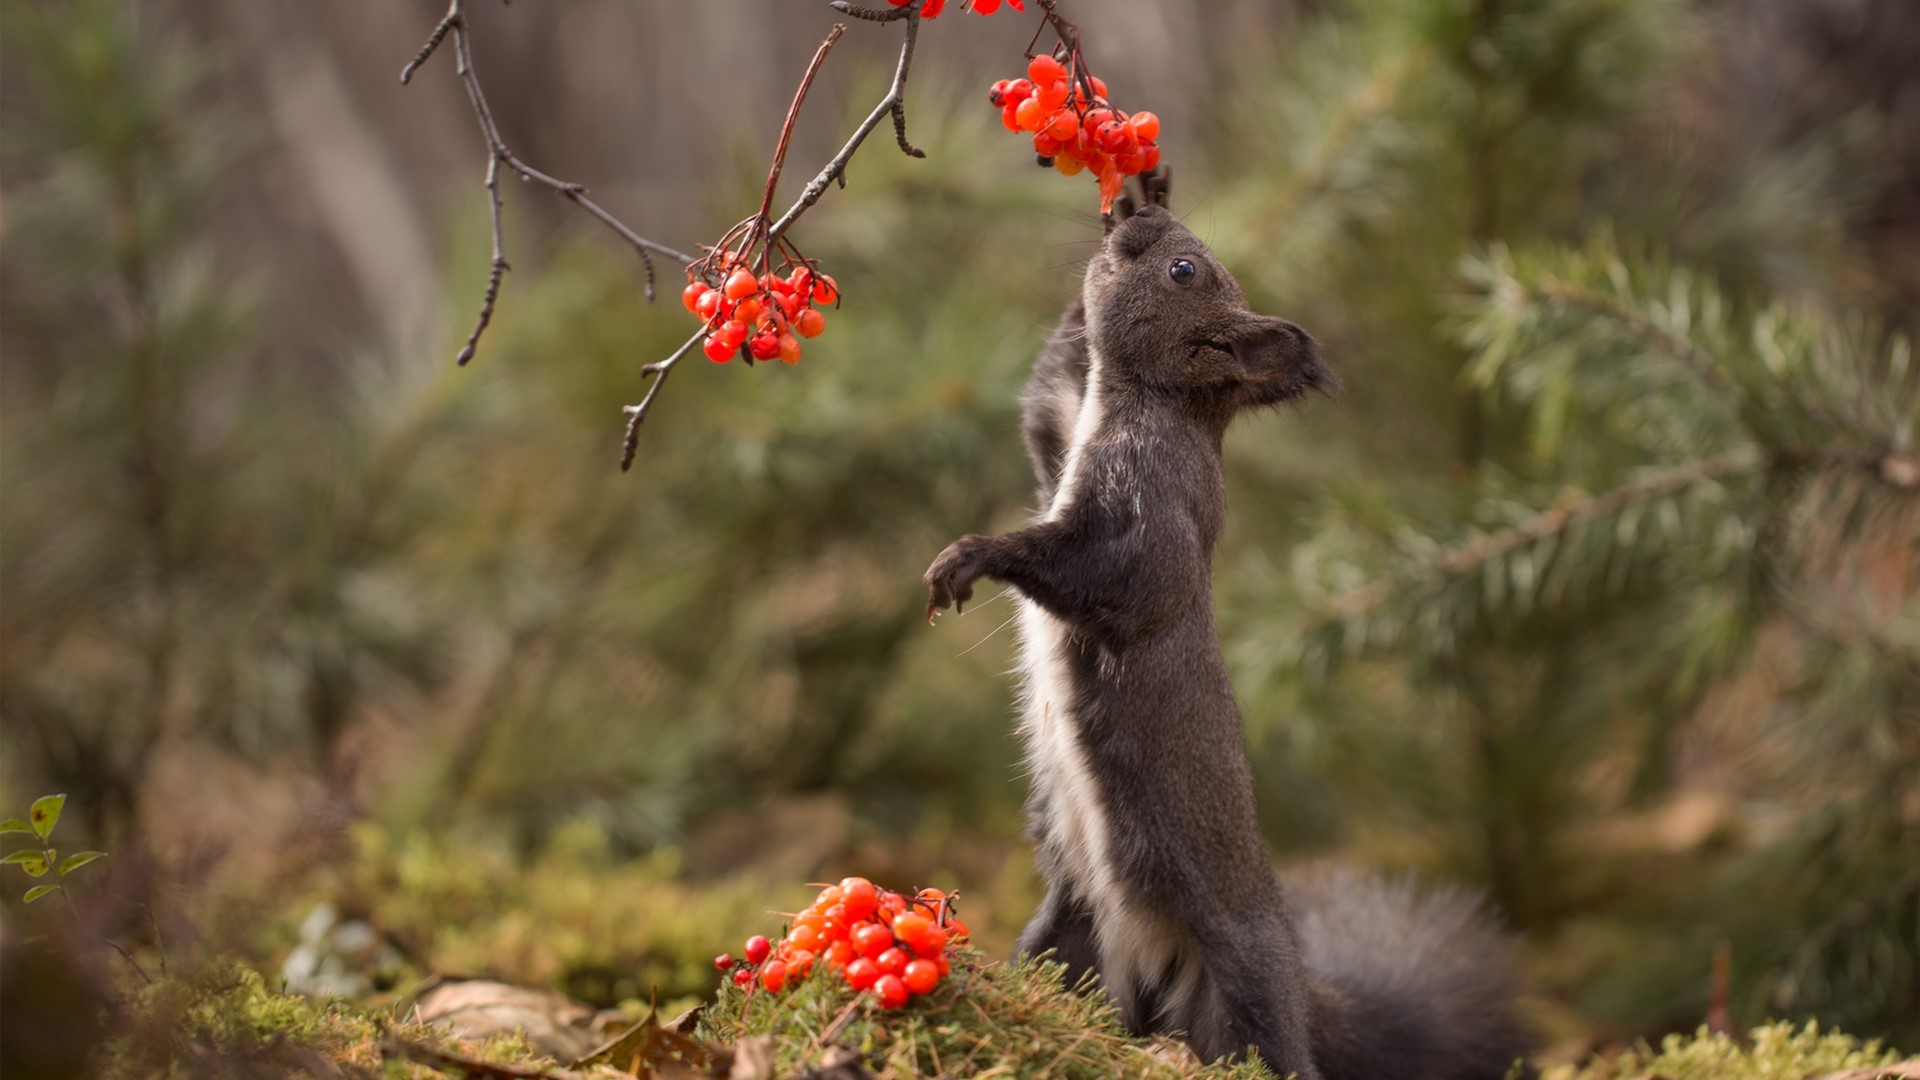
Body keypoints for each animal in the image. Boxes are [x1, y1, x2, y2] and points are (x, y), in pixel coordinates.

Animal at [922, 179, 1533, 1079]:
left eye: (1185, 271)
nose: (1138, 221)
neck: (1148, 402)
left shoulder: (1156, 505)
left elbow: (1125, 580)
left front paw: (976, 554)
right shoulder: (1062, 436)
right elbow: (1046, 399)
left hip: (1242, 984)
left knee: (1278, 1053)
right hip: (1069, 937)